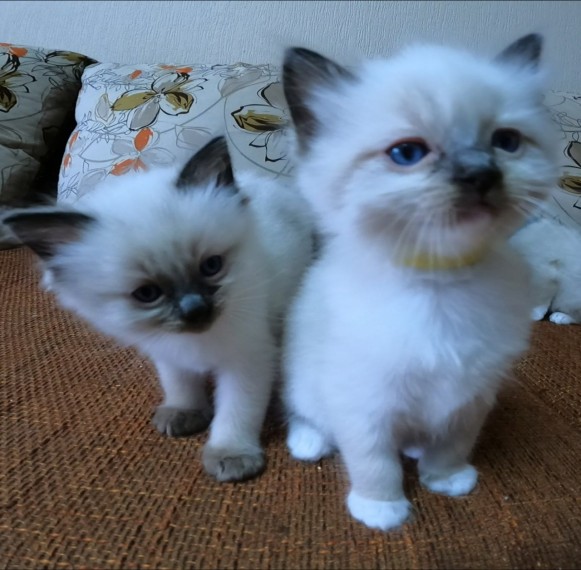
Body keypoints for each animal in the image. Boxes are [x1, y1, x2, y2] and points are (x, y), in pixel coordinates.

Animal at [2, 136, 314, 480]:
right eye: (147, 294)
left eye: (212, 266)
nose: (195, 309)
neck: (195, 343)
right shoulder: (167, 351)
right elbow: (180, 385)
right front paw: (185, 412)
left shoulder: (246, 359)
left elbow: (235, 412)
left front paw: (231, 454)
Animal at [278, 36, 560, 528]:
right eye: (407, 154)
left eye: (505, 142)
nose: (482, 174)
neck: (440, 282)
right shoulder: (363, 400)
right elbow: (374, 462)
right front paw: (381, 509)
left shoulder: (471, 396)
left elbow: (452, 444)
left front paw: (445, 480)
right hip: (306, 384)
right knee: (305, 413)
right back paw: (310, 443)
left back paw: (413, 447)